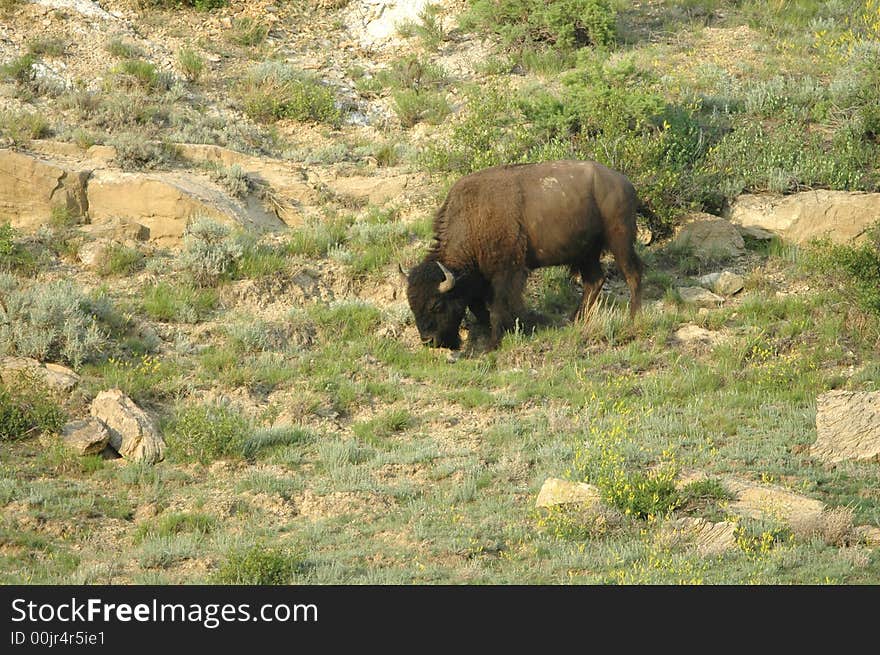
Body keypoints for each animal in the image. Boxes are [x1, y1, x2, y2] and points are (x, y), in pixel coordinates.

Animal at [402, 161, 644, 352]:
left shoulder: (506, 273)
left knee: (632, 274)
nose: (428, 341)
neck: (473, 218)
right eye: (412, 305)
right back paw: (573, 320)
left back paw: (632, 317)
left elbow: (498, 308)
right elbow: (480, 309)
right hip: (586, 253)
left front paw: (494, 343)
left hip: (620, 241)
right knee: (594, 281)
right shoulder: (478, 281)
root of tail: (625, 183)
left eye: (436, 305)